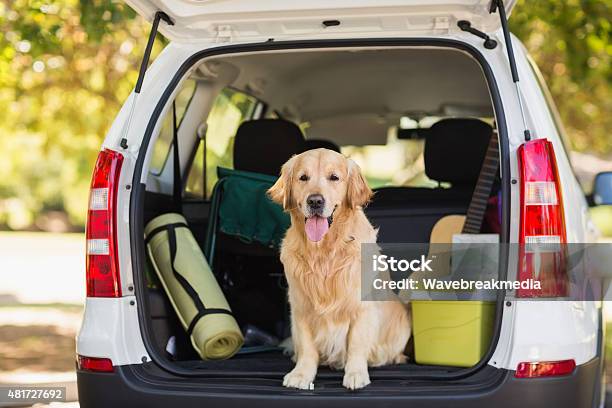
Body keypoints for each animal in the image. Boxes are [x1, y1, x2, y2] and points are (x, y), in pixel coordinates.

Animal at [268, 149, 412, 388]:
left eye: (334, 177)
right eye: (303, 177)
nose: (315, 201)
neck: (324, 251)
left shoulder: (361, 308)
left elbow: (356, 343)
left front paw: (355, 374)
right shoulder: (300, 306)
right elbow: (307, 347)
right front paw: (301, 374)